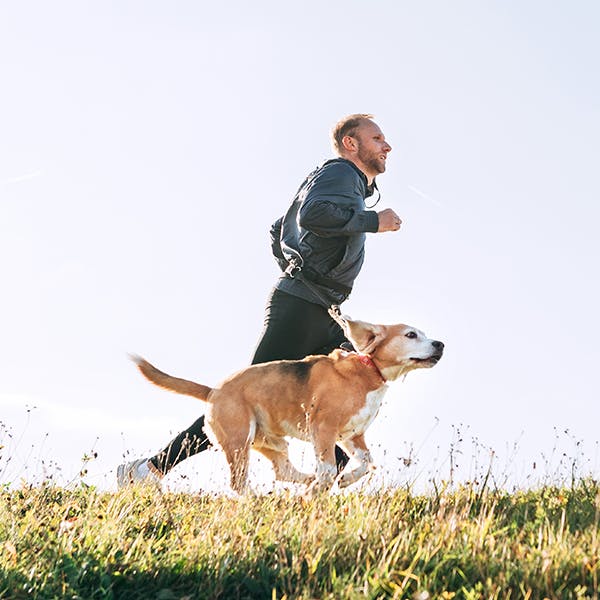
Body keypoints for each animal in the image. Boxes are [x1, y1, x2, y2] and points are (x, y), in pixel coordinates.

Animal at [132, 318, 440, 496]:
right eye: (411, 335)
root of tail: (213, 391)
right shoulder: (324, 430)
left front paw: (343, 481)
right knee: (239, 483)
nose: (440, 344)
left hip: (271, 442)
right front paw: (323, 486)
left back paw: (305, 483)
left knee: (283, 471)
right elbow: (329, 467)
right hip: (239, 440)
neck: (369, 369)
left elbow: (367, 463)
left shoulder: (352, 436)